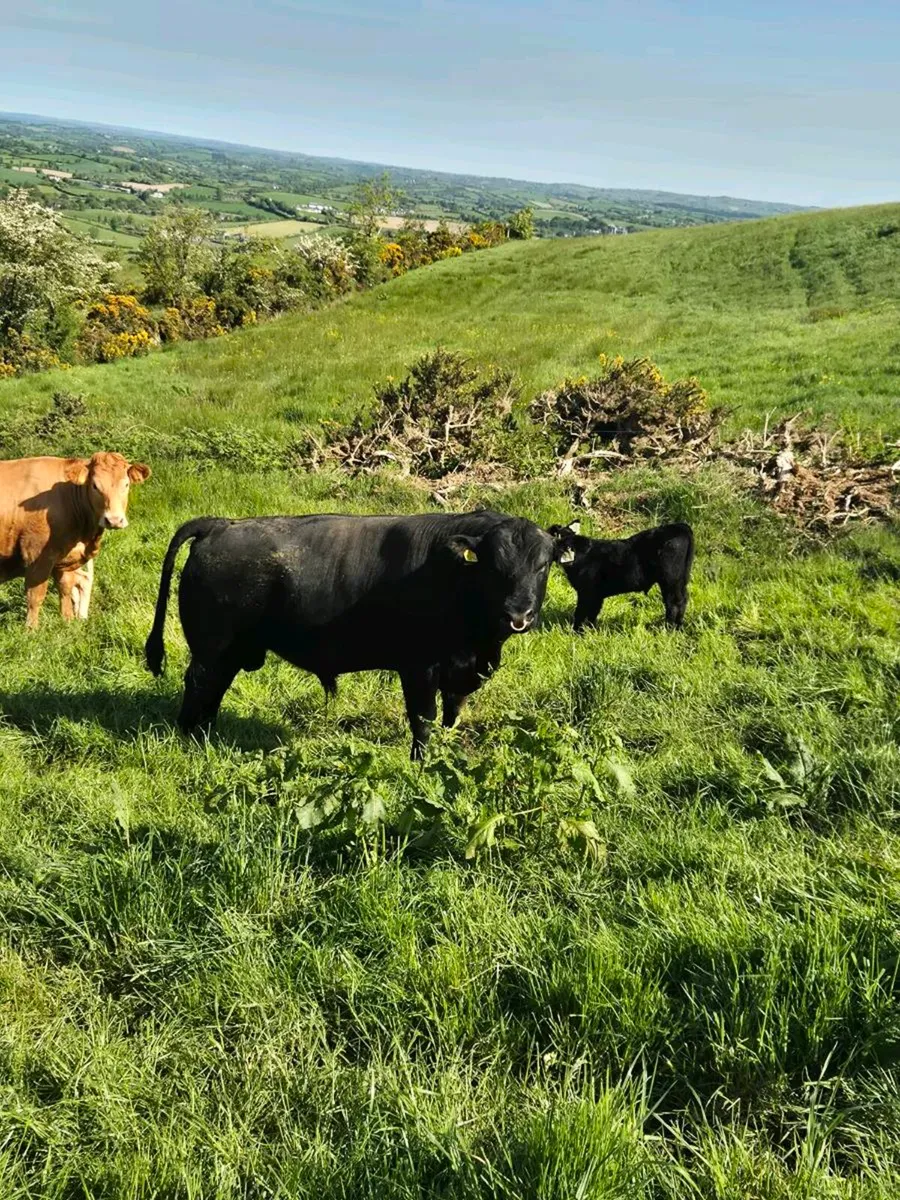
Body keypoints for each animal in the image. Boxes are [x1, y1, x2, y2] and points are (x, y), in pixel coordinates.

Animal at [0, 452, 151, 629]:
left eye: (126, 484)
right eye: (95, 486)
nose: (114, 520)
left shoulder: (63, 555)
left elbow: (65, 586)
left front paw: (68, 621)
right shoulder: (37, 555)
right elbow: (35, 595)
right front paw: (32, 629)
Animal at [145, 510, 572, 758]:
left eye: (542, 565)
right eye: (494, 566)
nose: (518, 614)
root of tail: (220, 525)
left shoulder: (459, 671)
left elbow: (451, 713)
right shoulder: (418, 666)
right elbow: (424, 719)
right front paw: (420, 763)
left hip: (232, 650)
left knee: (214, 689)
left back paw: (207, 736)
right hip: (212, 647)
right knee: (199, 683)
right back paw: (188, 735)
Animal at [547, 520, 694, 630]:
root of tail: (680, 526)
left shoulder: (587, 592)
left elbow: (581, 612)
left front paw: (577, 631)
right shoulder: (595, 595)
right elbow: (592, 613)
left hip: (670, 580)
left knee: (673, 603)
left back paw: (668, 628)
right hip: (681, 580)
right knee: (683, 600)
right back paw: (677, 626)